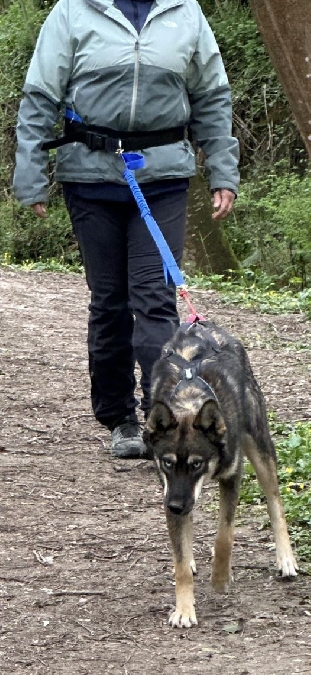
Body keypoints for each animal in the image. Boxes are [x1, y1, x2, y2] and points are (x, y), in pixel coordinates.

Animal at [144, 320, 300, 628]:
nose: (176, 505)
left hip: (260, 448)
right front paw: (184, 609)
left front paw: (220, 578)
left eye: (196, 464)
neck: (190, 399)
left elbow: (224, 535)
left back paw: (286, 558)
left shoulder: (232, 476)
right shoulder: (170, 489)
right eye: (167, 463)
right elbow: (180, 560)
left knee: (275, 502)